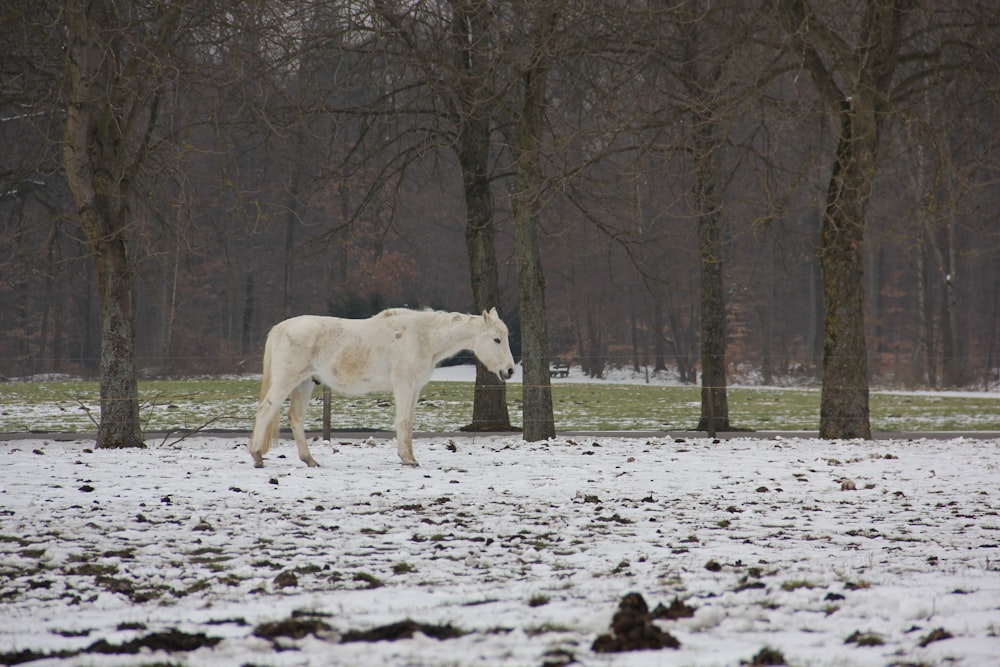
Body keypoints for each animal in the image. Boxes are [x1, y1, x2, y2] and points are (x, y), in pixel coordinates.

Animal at [250, 310, 516, 470]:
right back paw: (257, 455)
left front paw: (409, 457)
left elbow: (409, 422)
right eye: (496, 339)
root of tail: (281, 327)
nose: (510, 370)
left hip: (304, 384)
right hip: (287, 381)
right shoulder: (404, 385)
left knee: (295, 417)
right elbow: (403, 422)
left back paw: (309, 460)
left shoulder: (414, 388)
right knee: (266, 409)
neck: (421, 337)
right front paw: (408, 459)